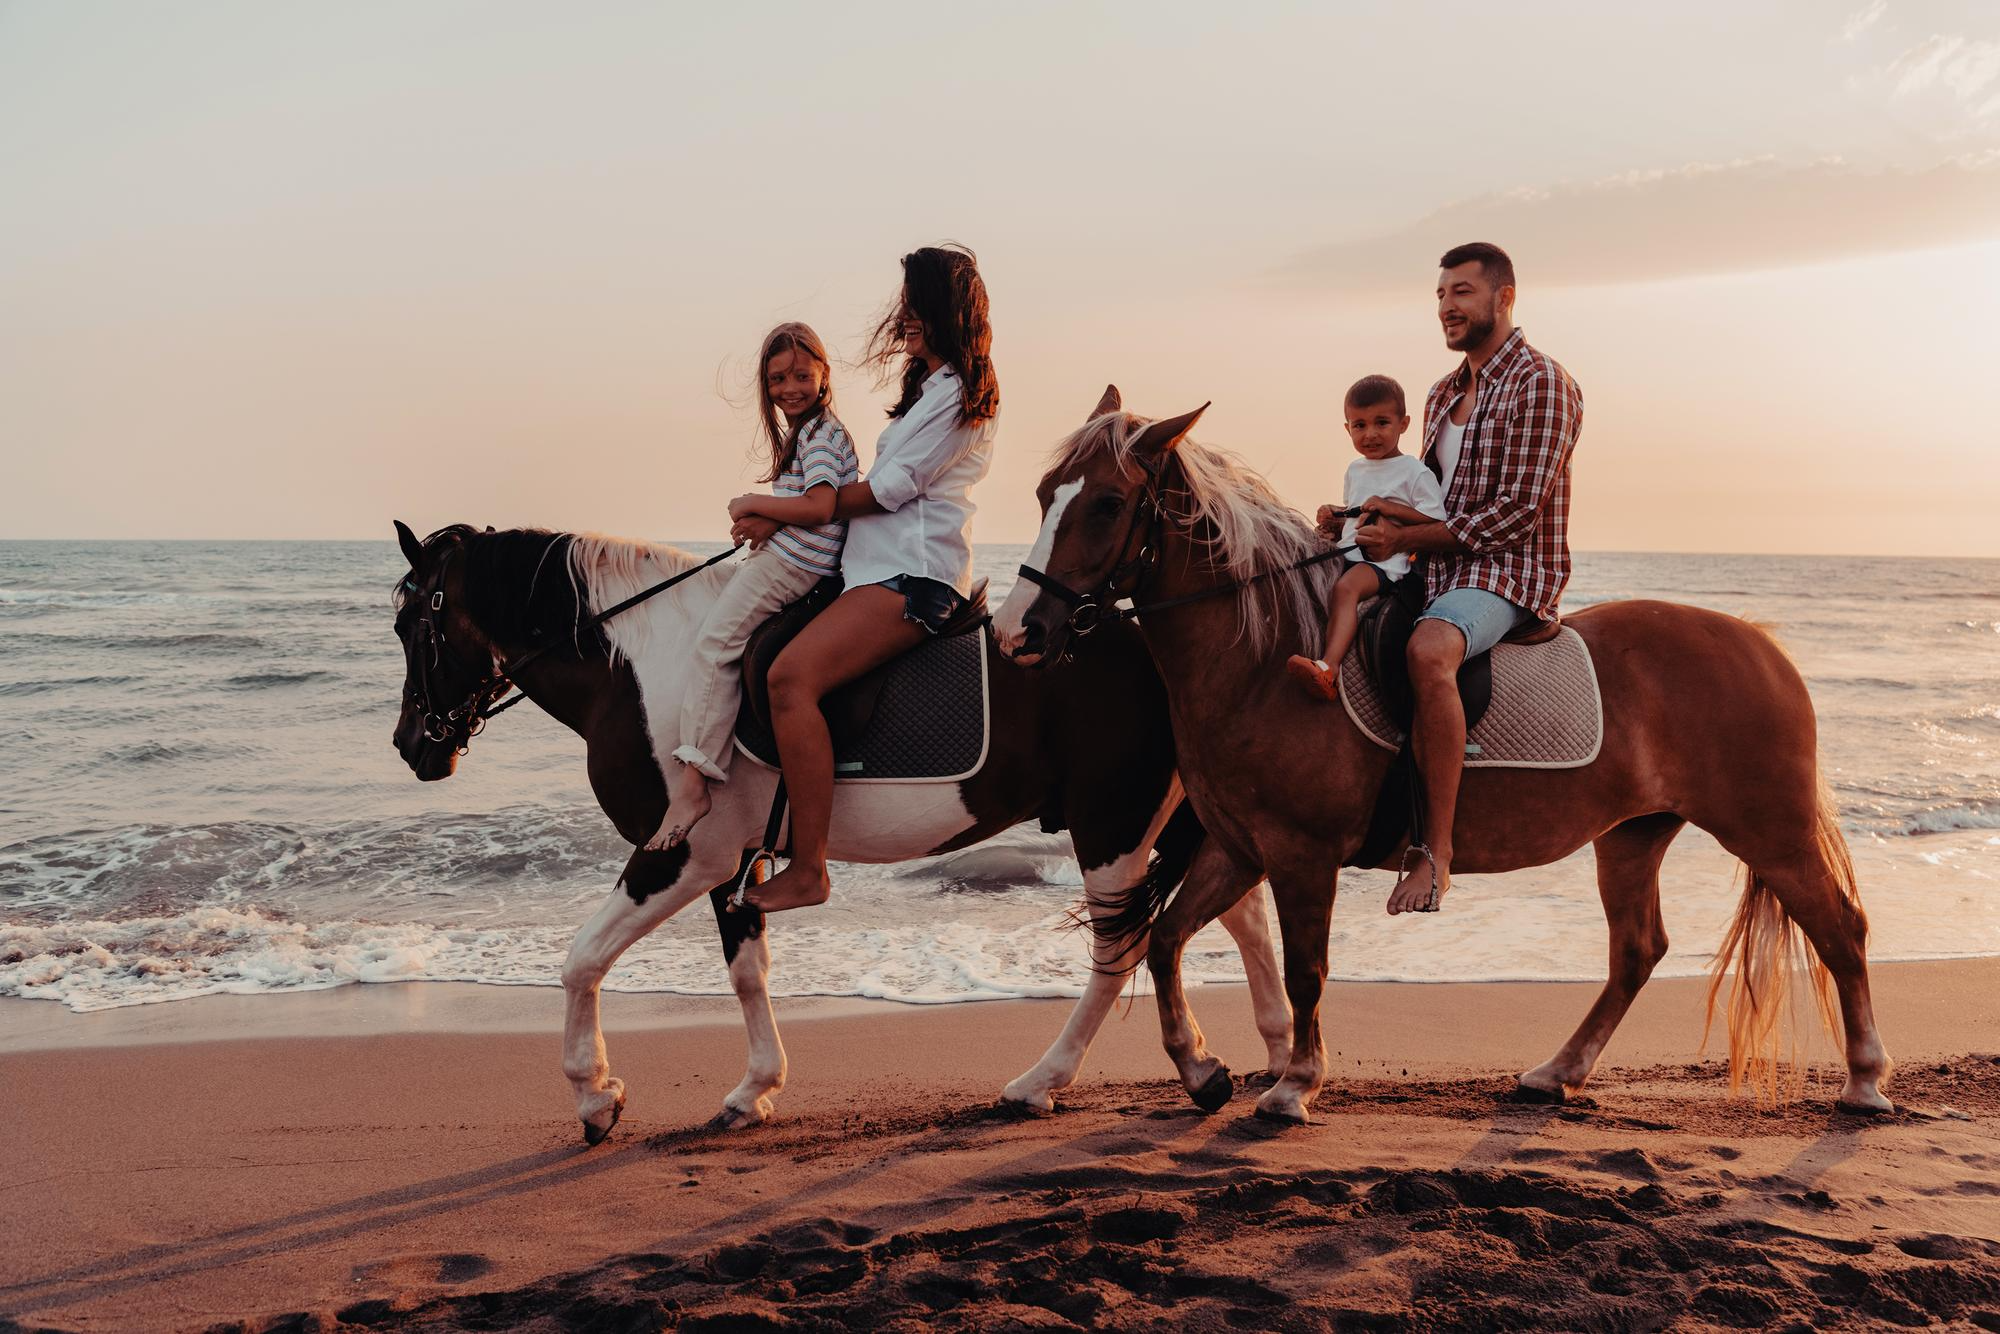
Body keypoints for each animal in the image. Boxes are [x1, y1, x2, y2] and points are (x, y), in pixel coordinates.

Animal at [390, 520, 1296, 1152]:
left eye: (410, 627)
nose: (412, 746)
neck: (649, 669)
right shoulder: (732, 863)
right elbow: (747, 972)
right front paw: (754, 1090)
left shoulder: (682, 853)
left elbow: (580, 961)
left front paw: (596, 1097)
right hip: (1162, 820)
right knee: (1232, 918)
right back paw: (1255, 1059)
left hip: (1111, 826)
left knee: (1123, 951)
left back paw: (1046, 1081)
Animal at [992, 388, 1896, 1128]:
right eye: (1043, 496)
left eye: (1108, 504)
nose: (1017, 632)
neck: (1263, 662)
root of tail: (1761, 645)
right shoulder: (1241, 848)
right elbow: (1169, 941)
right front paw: (1202, 1070)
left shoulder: (1300, 855)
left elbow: (1306, 969)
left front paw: (1294, 1086)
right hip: (1634, 834)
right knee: (1637, 952)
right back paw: (1557, 1073)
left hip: (1767, 827)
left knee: (1840, 928)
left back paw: (1865, 1080)